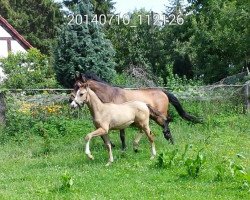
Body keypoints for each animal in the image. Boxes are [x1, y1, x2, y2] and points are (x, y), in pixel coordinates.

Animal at [71, 72, 201, 149]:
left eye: (79, 87)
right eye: (74, 85)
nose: (71, 102)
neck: (111, 95)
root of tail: (163, 91)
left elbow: (122, 135)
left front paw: (123, 148)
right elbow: (103, 135)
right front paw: (112, 145)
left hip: (158, 116)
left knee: (166, 122)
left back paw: (169, 140)